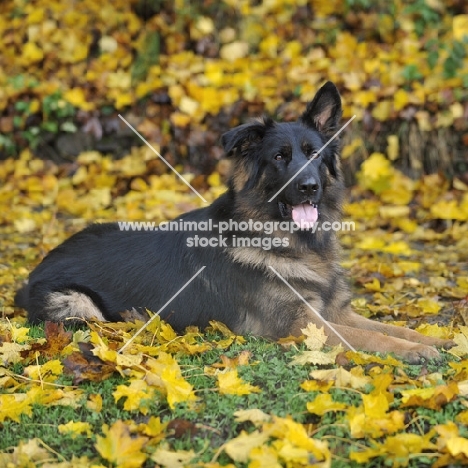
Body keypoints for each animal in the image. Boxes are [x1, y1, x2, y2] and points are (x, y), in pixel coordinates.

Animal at [15, 83, 454, 362]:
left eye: (313, 154)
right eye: (279, 157)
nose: (308, 187)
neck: (287, 242)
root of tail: (33, 271)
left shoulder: (332, 313)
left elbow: (389, 328)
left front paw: (434, 340)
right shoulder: (303, 326)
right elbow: (369, 337)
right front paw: (417, 352)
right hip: (78, 306)